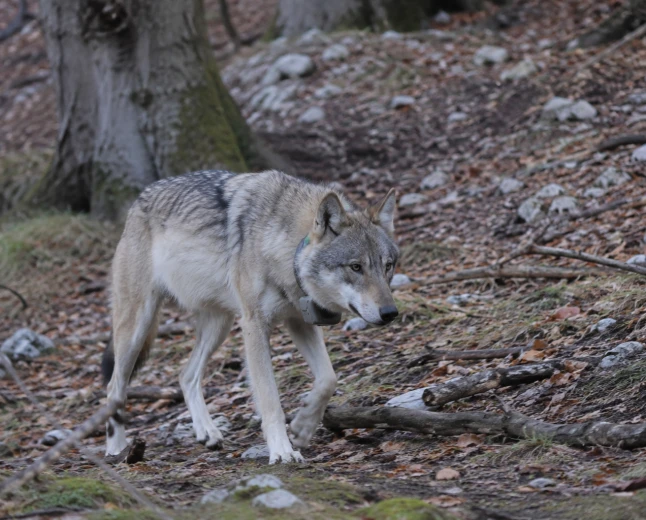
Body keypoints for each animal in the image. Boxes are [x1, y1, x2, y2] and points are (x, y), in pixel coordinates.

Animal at [102, 169, 399, 463]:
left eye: (388, 266)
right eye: (356, 267)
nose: (390, 313)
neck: (287, 248)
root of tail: (139, 199)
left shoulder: (298, 320)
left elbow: (328, 378)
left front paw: (303, 427)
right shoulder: (255, 325)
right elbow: (270, 399)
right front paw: (282, 450)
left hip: (219, 326)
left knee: (186, 375)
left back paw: (207, 432)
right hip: (137, 328)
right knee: (114, 387)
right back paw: (116, 449)